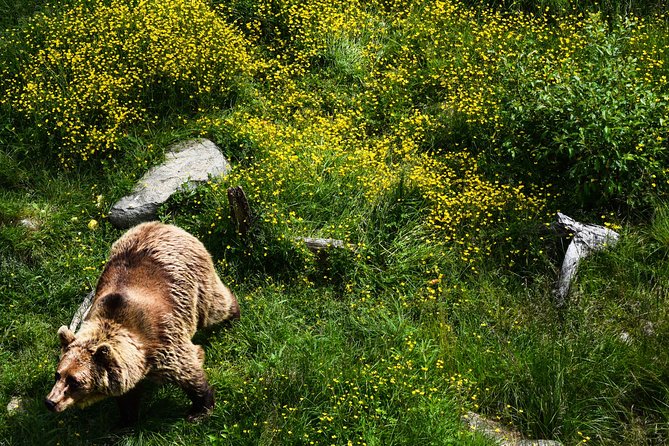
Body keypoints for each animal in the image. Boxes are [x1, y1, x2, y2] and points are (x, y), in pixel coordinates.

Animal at [45, 221, 239, 424]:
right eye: (58, 374)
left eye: (74, 381)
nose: (50, 402)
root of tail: (163, 225)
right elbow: (127, 395)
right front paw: (125, 420)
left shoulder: (163, 338)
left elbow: (187, 369)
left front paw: (199, 409)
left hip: (194, 283)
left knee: (215, 306)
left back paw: (234, 314)